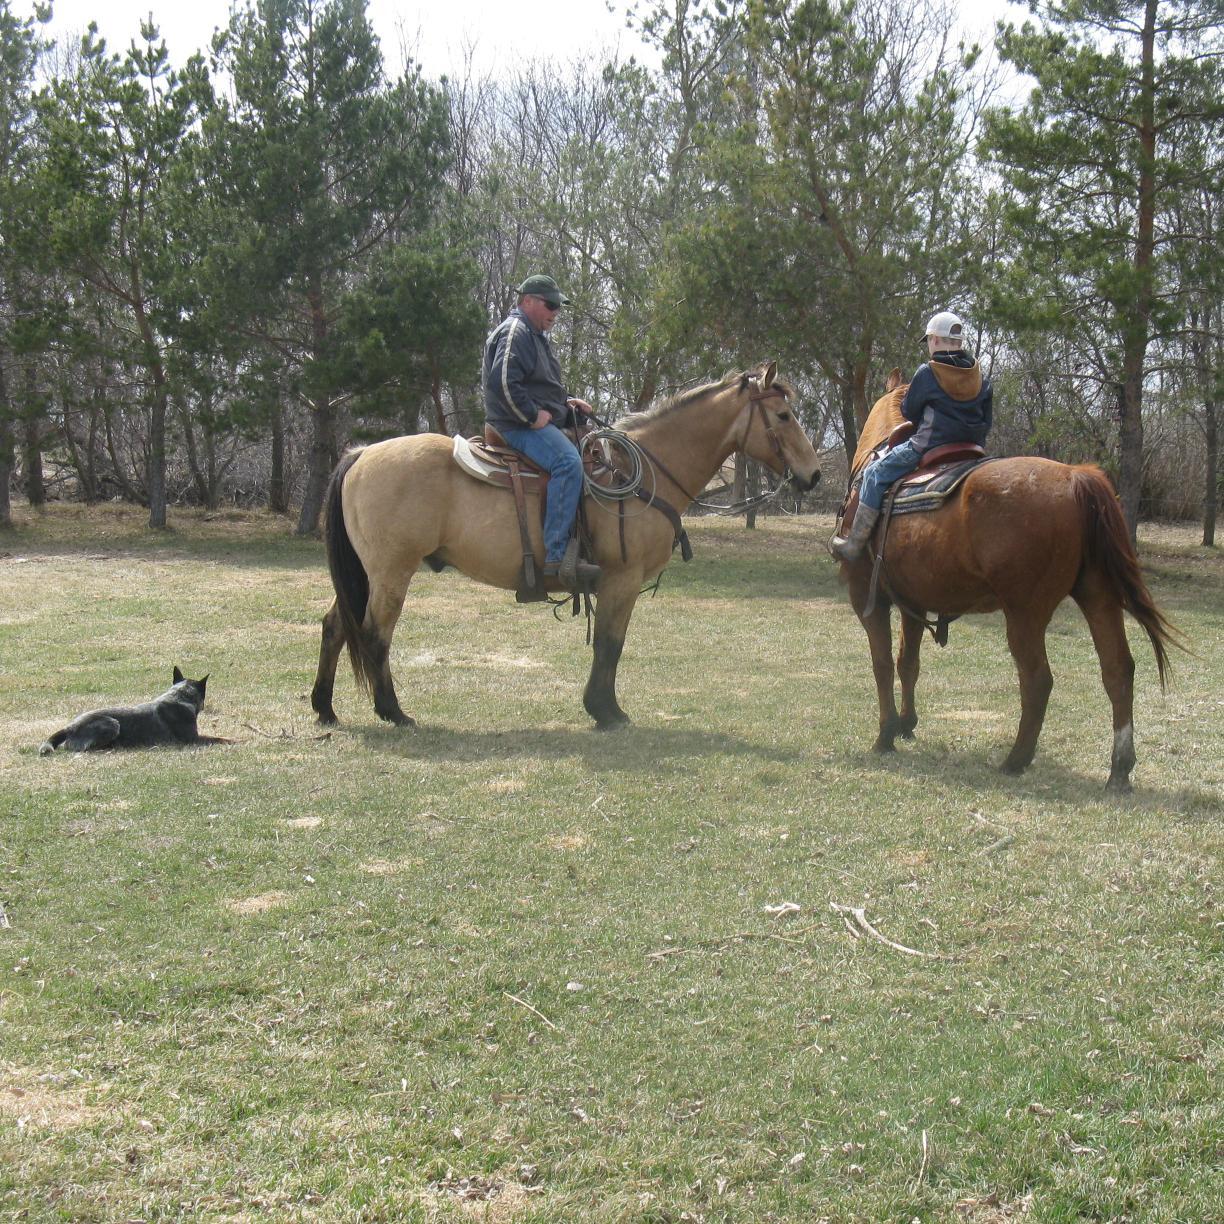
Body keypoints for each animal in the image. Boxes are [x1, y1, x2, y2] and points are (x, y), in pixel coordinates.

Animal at [310, 359, 817, 724]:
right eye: (783, 414)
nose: (812, 476)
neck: (639, 474)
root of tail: (361, 454)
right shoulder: (622, 579)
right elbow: (611, 643)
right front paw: (606, 711)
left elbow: (609, 644)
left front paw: (602, 707)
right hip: (392, 570)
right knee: (375, 633)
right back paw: (392, 711)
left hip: (367, 572)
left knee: (336, 625)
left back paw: (324, 708)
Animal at [832, 367, 1175, 793]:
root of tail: (1075, 477)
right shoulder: (914, 604)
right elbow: (906, 662)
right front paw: (907, 724)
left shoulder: (868, 598)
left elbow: (881, 664)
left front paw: (885, 734)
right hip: (1099, 597)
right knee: (1117, 670)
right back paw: (1119, 769)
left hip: (1025, 614)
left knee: (1038, 680)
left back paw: (1016, 759)